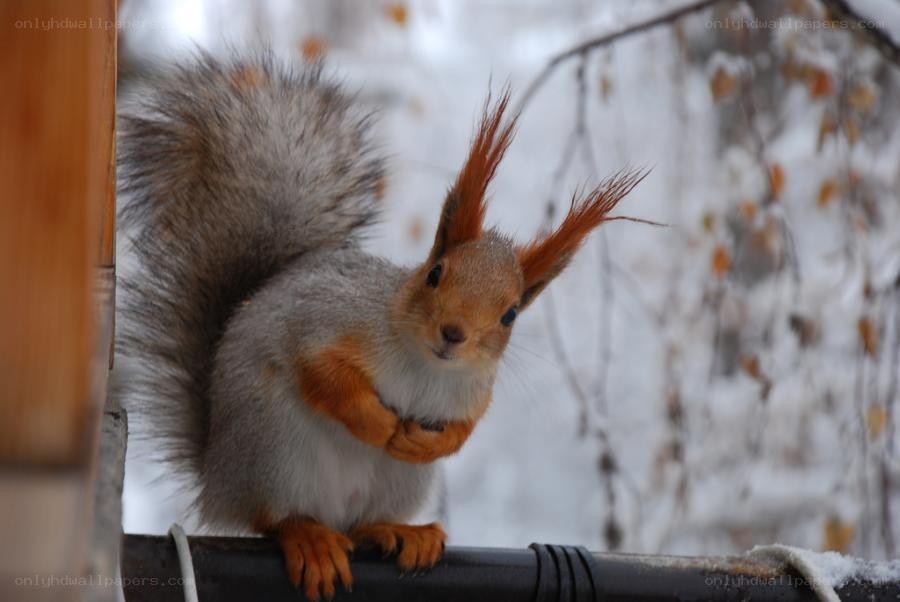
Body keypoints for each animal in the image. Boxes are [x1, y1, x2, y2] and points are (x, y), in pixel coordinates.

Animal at [117, 51, 645, 600]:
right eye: (435, 274)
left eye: (510, 314)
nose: (453, 333)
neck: (426, 365)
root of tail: (217, 478)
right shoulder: (323, 324)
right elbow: (321, 373)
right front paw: (379, 423)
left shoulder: (474, 392)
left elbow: (465, 429)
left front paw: (426, 441)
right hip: (272, 448)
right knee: (273, 517)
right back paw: (308, 536)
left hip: (398, 481)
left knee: (359, 523)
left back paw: (396, 529)